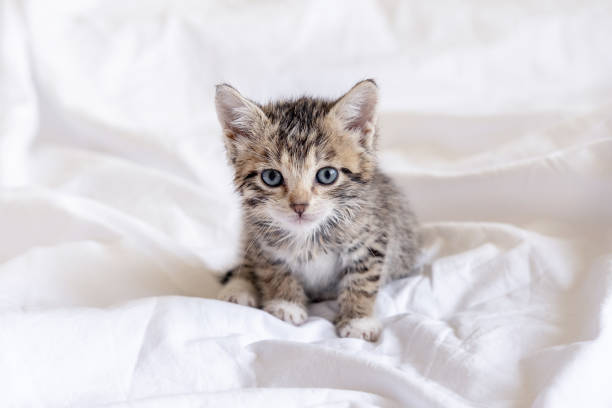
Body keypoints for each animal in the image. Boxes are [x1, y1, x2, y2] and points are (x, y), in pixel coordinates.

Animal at [213, 79, 418, 342]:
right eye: (271, 177)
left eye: (327, 175)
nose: (299, 206)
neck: (310, 236)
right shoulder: (262, 242)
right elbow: (273, 270)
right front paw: (286, 304)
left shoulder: (372, 236)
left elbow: (363, 279)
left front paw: (358, 319)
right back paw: (239, 288)